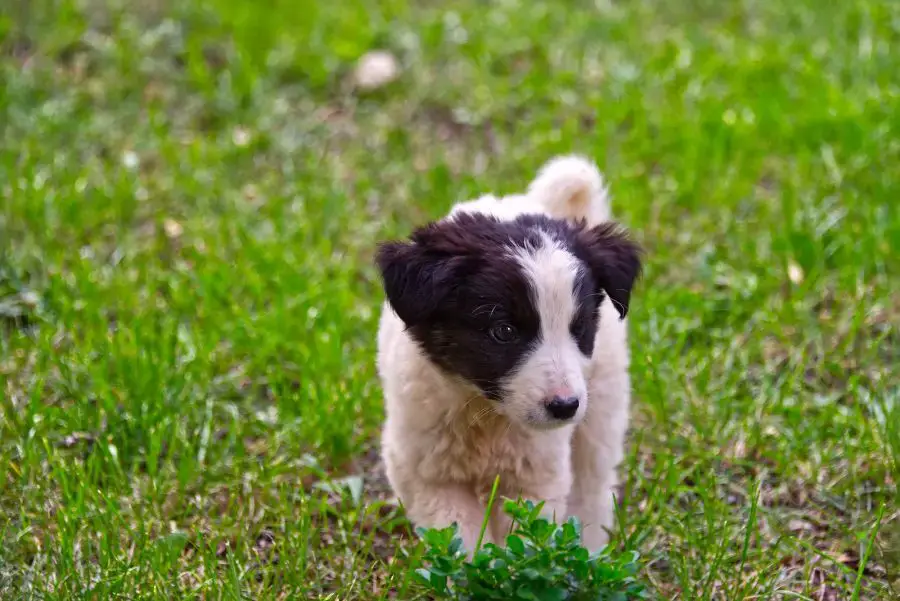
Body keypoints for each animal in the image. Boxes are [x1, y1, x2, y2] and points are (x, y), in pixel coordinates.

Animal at [372, 156, 640, 552]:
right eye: (504, 331)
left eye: (579, 329)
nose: (565, 406)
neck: (487, 416)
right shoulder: (429, 475)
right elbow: (459, 539)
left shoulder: (536, 476)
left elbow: (525, 539)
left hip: (602, 402)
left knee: (592, 485)